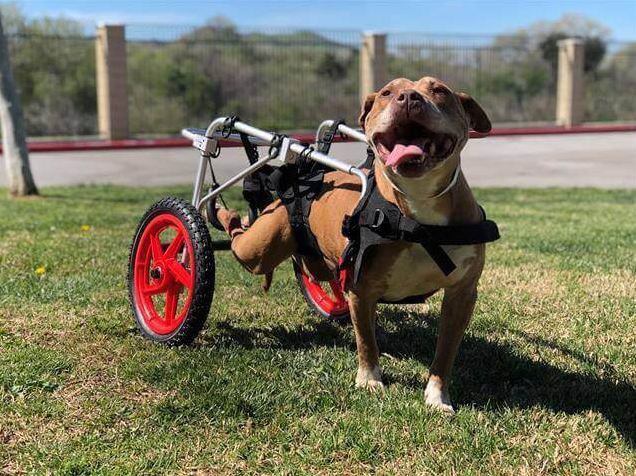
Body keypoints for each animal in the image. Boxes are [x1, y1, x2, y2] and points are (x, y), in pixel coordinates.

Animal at [217, 75, 492, 412]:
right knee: (237, 236)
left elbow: (445, 353)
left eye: (439, 90)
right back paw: (223, 214)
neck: (416, 211)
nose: (408, 98)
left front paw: (437, 397)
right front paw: (370, 380)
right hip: (258, 249)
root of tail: (306, 177)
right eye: (387, 92)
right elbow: (366, 340)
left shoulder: (461, 295)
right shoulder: (362, 290)